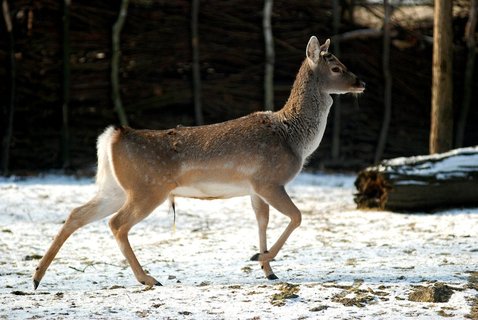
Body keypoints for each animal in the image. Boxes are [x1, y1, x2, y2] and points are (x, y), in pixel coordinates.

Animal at [32, 36, 362, 288]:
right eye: (336, 67)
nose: (361, 82)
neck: (293, 137)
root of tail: (111, 136)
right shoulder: (270, 180)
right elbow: (297, 216)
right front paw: (261, 259)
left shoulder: (255, 188)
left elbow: (262, 221)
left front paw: (267, 269)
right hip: (148, 188)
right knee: (116, 224)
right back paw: (147, 278)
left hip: (114, 188)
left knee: (77, 213)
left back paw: (36, 277)